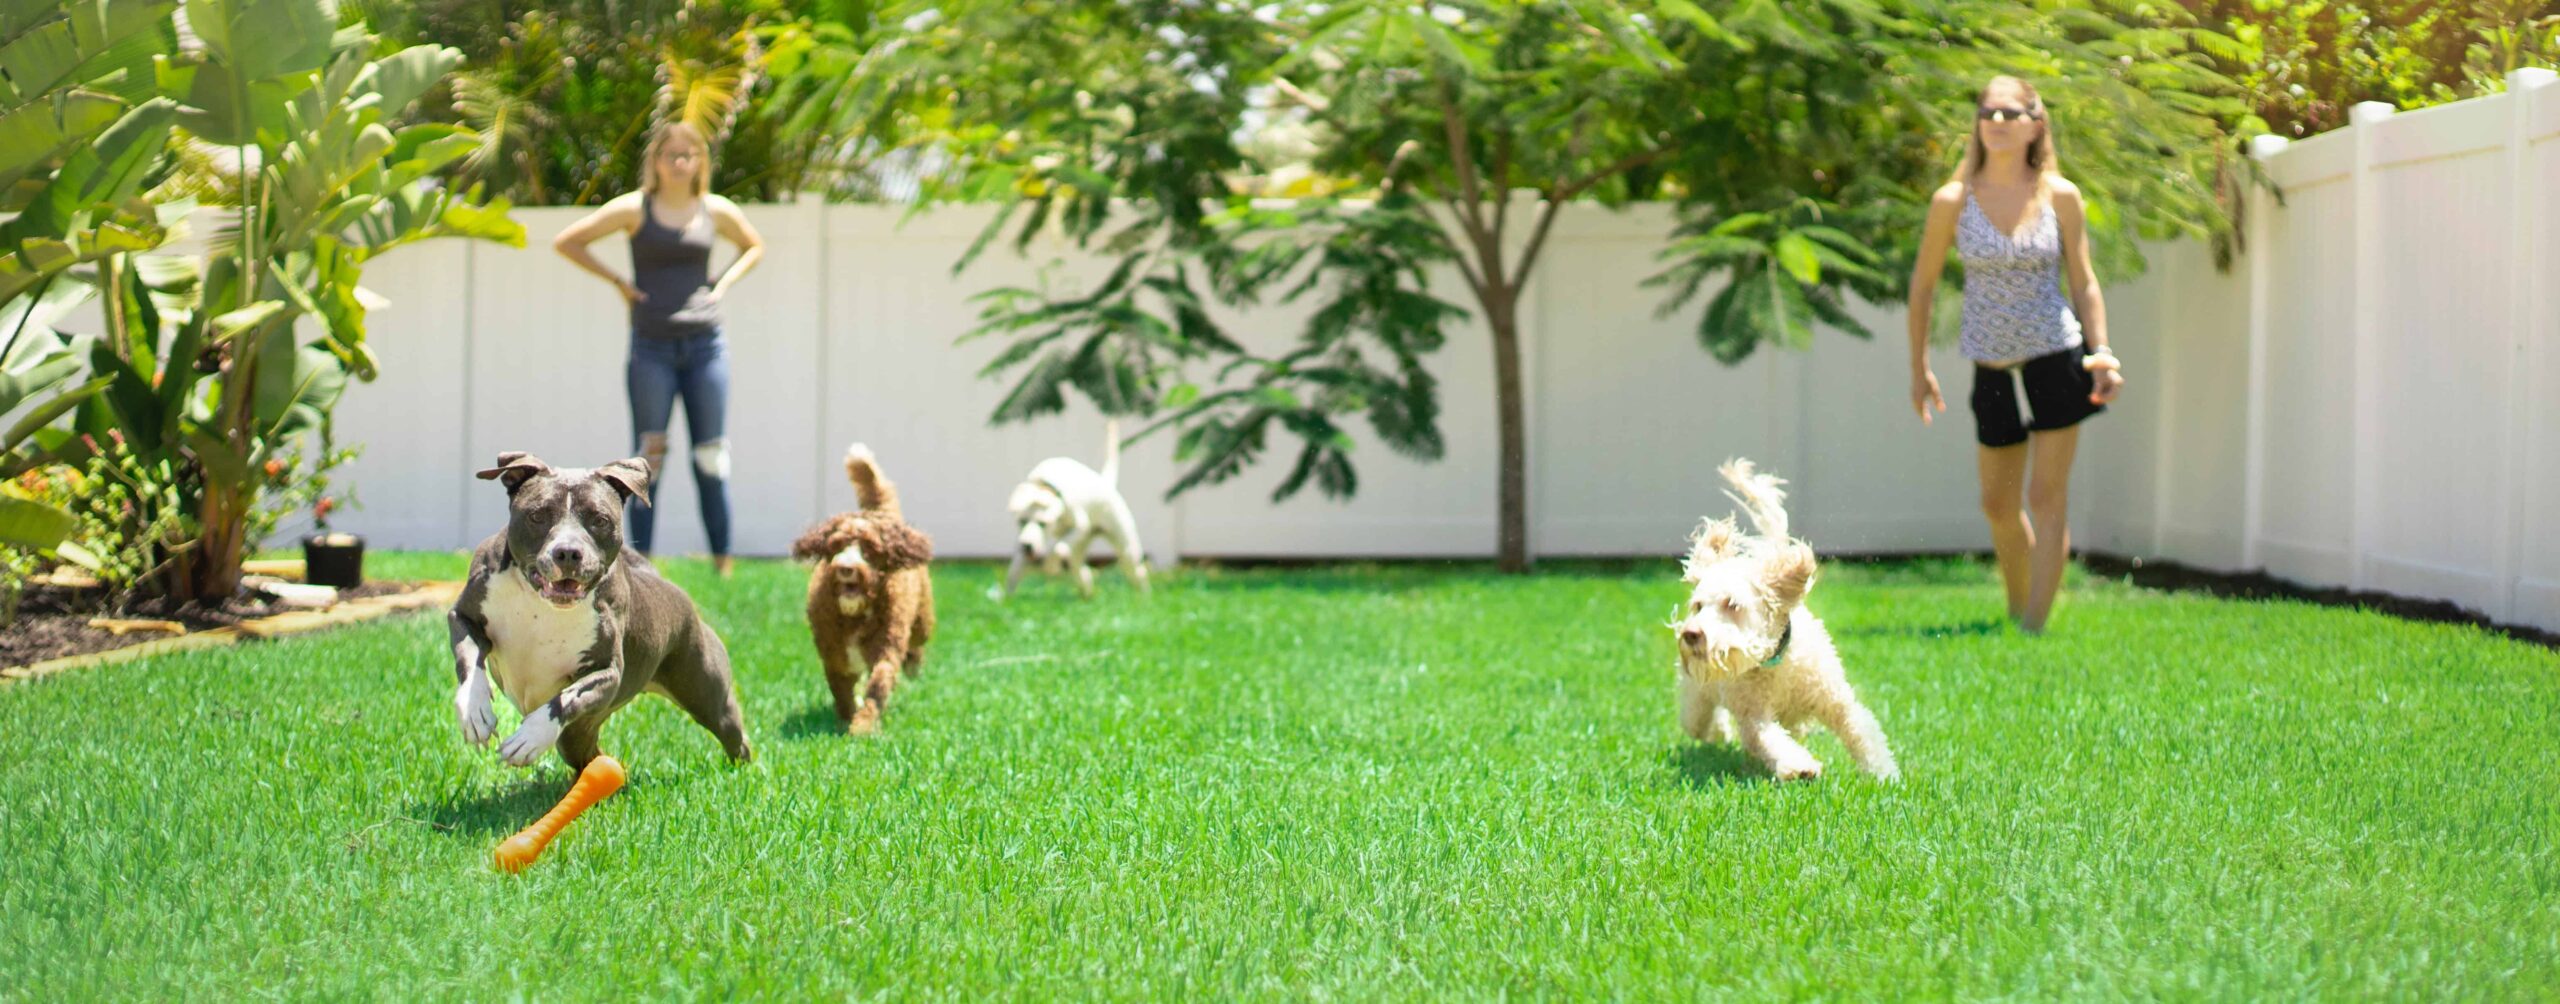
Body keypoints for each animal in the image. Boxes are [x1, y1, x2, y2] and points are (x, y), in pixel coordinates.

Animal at [448, 453, 747, 768]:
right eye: (537, 515)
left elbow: (568, 697)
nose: (568, 552)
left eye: (600, 520)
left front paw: (530, 737)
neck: (542, 604)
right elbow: (469, 658)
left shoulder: (607, 672)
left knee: (733, 734)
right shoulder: (463, 617)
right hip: (577, 736)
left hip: (706, 695)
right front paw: (475, 711)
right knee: (592, 756)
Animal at [788, 443, 942, 732]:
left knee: (916, 643)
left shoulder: (886, 646)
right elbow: (841, 689)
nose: (846, 568)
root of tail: (881, 514)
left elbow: (879, 684)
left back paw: (913, 662)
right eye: (836, 545)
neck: (855, 615)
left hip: (922, 621)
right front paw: (846, 717)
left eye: (869, 548)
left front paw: (863, 726)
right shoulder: (835, 654)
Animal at [998, 420, 1152, 599]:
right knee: (1083, 573)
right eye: (1021, 521)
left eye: (1043, 523)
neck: (1043, 484)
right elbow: (1016, 572)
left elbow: (1057, 549)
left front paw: (1051, 564)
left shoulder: (1080, 526)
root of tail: (1104, 482)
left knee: (1137, 572)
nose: (1026, 546)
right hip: (1078, 551)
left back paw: (1144, 597)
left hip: (1126, 549)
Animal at [1669, 458, 1894, 778]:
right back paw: (1720, 733)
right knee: (1701, 723)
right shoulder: (1753, 715)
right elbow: (1769, 739)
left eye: (1732, 604)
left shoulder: (1834, 698)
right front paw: (1800, 766)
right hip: (1696, 698)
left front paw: (1884, 774)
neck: (1775, 664)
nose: (1691, 634)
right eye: (1698, 606)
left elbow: (1861, 731)